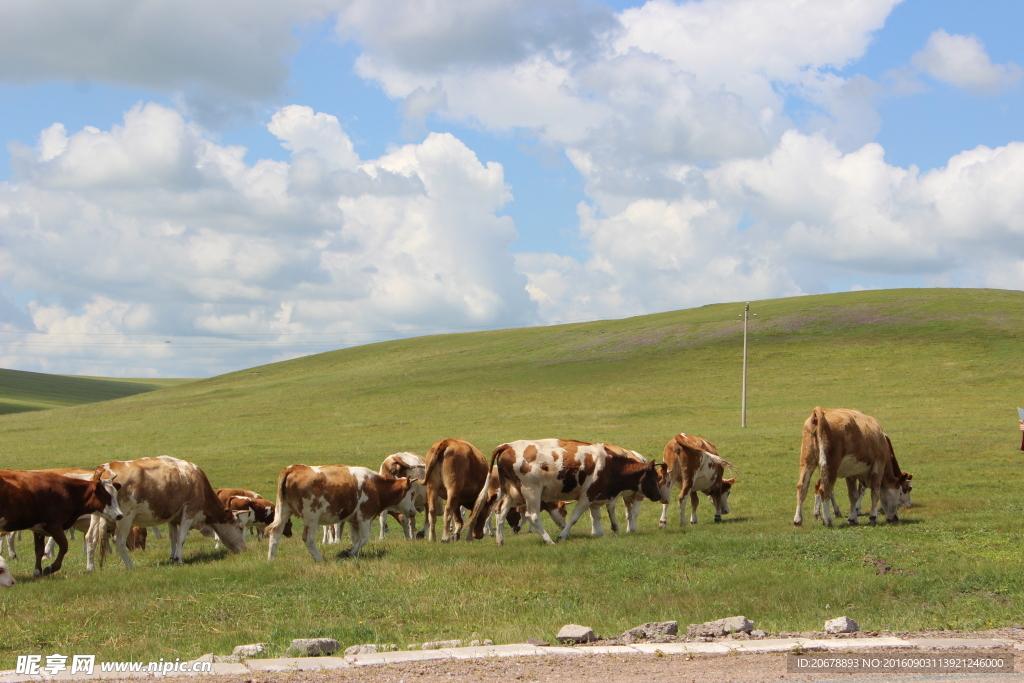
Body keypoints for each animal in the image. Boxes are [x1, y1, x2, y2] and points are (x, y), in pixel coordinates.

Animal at [86, 454, 245, 573]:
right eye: (240, 527)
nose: (245, 549)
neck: (197, 481)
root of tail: (103, 468)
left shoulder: (173, 517)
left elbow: (172, 537)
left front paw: (172, 556)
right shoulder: (189, 511)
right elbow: (181, 538)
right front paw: (179, 560)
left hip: (96, 515)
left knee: (90, 538)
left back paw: (90, 568)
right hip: (125, 517)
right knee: (118, 540)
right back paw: (130, 566)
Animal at [268, 466, 423, 565]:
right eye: (412, 494)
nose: (413, 511)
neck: (376, 486)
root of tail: (293, 468)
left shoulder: (353, 521)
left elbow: (356, 539)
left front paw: (354, 553)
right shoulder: (365, 517)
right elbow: (364, 538)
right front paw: (348, 552)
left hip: (283, 512)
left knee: (275, 533)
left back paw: (271, 559)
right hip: (311, 517)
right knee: (308, 538)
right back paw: (319, 559)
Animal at [468, 440, 671, 548]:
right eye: (654, 477)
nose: (658, 496)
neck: (610, 464)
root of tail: (507, 446)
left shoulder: (596, 496)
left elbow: (596, 516)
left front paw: (600, 534)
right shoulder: (587, 495)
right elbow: (575, 517)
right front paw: (563, 535)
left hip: (510, 492)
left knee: (500, 513)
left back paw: (500, 541)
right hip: (531, 491)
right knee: (532, 516)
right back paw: (549, 540)